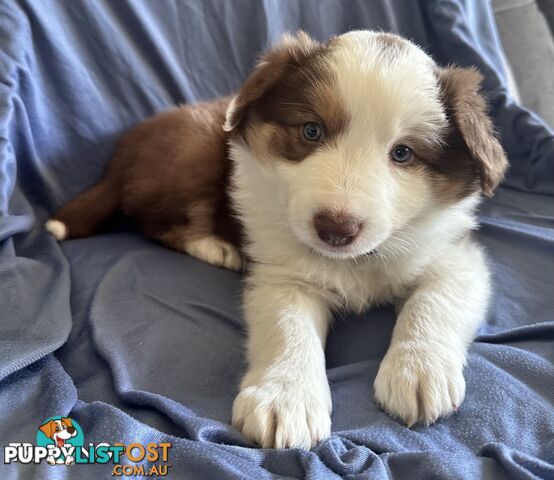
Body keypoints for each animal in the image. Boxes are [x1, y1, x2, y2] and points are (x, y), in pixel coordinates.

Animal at [47, 30, 504, 450]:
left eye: (403, 153)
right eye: (312, 131)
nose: (335, 228)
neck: (355, 260)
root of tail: (120, 155)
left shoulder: (455, 256)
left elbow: (433, 301)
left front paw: (419, 371)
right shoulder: (281, 274)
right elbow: (288, 328)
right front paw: (285, 398)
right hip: (192, 157)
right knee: (155, 222)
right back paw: (214, 247)